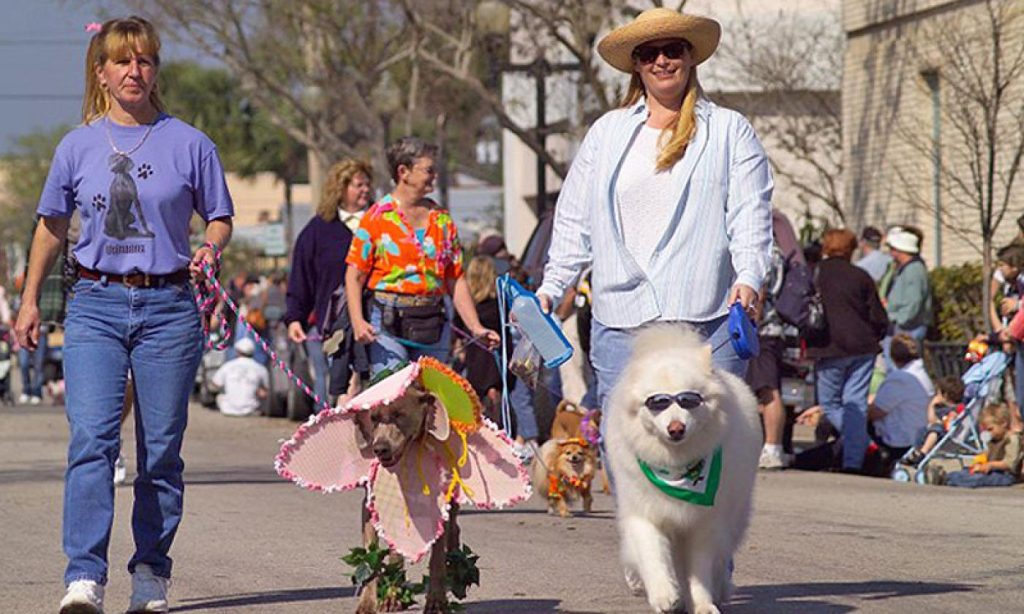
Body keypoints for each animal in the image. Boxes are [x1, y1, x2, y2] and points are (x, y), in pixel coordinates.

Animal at [602, 323, 765, 609]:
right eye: (657, 403)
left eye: (689, 400)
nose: (676, 428)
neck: (676, 466)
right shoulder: (645, 514)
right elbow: (653, 556)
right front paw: (664, 595)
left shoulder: (705, 524)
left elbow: (699, 571)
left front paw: (703, 604)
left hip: (734, 516)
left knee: (722, 557)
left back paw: (720, 589)